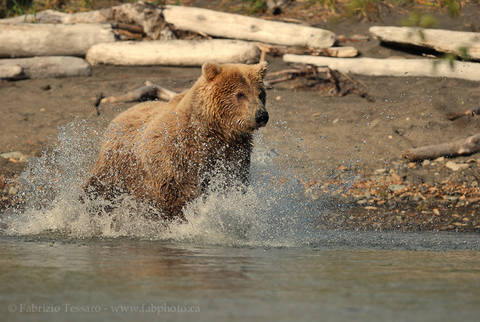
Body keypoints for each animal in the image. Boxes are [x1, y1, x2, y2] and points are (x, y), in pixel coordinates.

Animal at [84, 63, 268, 221]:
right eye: (240, 94)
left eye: (260, 94)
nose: (261, 115)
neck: (214, 131)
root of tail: (121, 114)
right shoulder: (178, 155)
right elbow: (175, 196)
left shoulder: (233, 153)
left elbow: (230, 184)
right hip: (118, 163)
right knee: (99, 187)